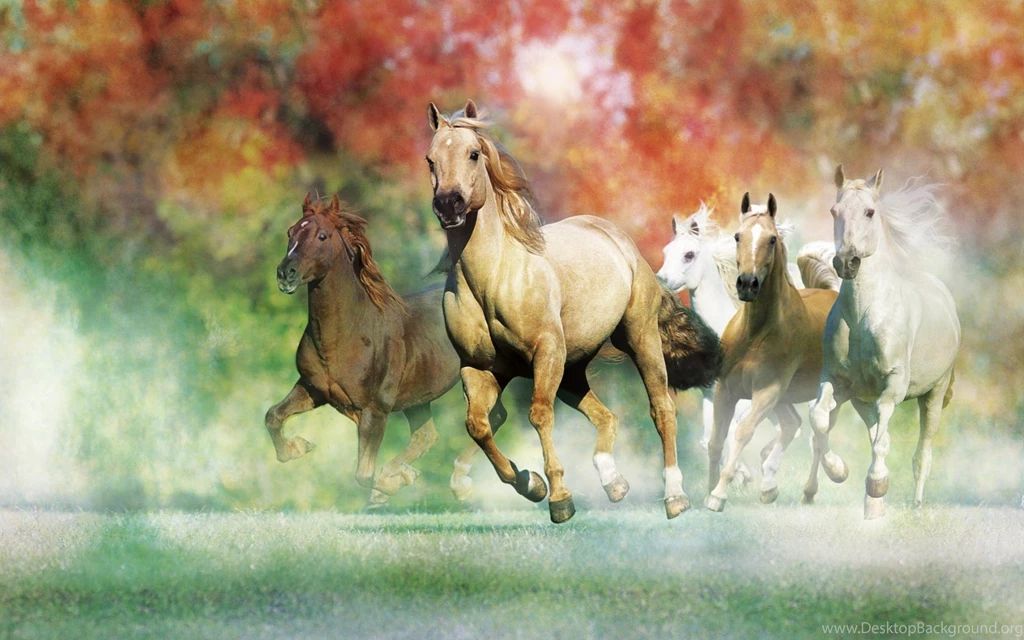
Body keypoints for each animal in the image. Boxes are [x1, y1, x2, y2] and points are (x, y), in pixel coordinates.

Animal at [266, 193, 495, 505]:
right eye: (290, 233)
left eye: (322, 235)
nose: (285, 274)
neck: (346, 337)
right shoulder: (312, 389)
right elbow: (273, 416)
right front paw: (299, 447)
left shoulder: (375, 410)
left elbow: (363, 475)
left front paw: (394, 482)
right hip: (418, 399)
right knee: (427, 436)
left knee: (488, 420)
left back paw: (461, 483)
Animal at [426, 99, 722, 523]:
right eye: (431, 159)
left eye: (473, 153)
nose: (448, 204)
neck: (494, 278)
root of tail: (622, 242)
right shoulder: (478, 368)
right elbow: (478, 425)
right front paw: (530, 483)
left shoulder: (546, 353)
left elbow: (537, 415)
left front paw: (560, 498)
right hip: (573, 368)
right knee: (606, 416)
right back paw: (613, 482)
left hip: (639, 339)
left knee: (662, 409)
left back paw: (674, 497)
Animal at [656, 204, 838, 484]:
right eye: (666, 252)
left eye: (689, 254)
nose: (660, 282)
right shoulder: (713, 396)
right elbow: (710, 439)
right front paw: (739, 474)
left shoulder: (745, 398)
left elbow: (734, 431)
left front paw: (739, 474)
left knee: (816, 429)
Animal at [705, 193, 840, 511]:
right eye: (738, 236)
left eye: (772, 239)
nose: (747, 284)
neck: (755, 333)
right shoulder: (725, 389)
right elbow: (716, 440)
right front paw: (705, 491)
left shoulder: (768, 390)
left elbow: (742, 432)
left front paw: (718, 494)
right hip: (786, 398)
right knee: (794, 424)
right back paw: (770, 487)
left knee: (819, 431)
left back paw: (823, 480)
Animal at [804, 166, 960, 519]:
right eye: (834, 211)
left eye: (869, 212)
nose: (846, 262)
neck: (864, 315)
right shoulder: (836, 380)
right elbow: (819, 419)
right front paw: (839, 471)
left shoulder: (894, 384)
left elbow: (883, 436)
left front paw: (877, 483)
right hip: (860, 400)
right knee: (868, 431)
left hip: (934, 394)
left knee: (922, 452)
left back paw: (913, 503)